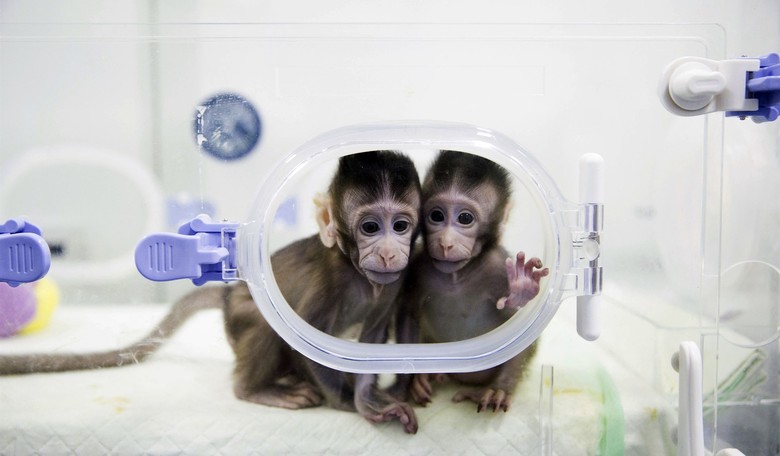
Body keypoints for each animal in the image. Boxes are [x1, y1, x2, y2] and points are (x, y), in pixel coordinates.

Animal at [0, 150, 421, 434]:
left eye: (400, 226)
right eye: (370, 227)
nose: (388, 252)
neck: (359, 276)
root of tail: (230, 292)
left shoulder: (391, 286)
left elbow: (370, 342)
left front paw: (371, 397)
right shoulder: (329, 282)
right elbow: (307, 344)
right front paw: (353, 405)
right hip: (239, 317)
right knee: (265, 326)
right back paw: (256, 389)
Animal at [395, 150, 549, 413]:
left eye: (465, 218)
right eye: (436, 215)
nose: (445, 242)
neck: (457, 276)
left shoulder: (499, 268)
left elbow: (517, 328)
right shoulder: (417, 264)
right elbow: (409, 315)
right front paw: (415, 378)